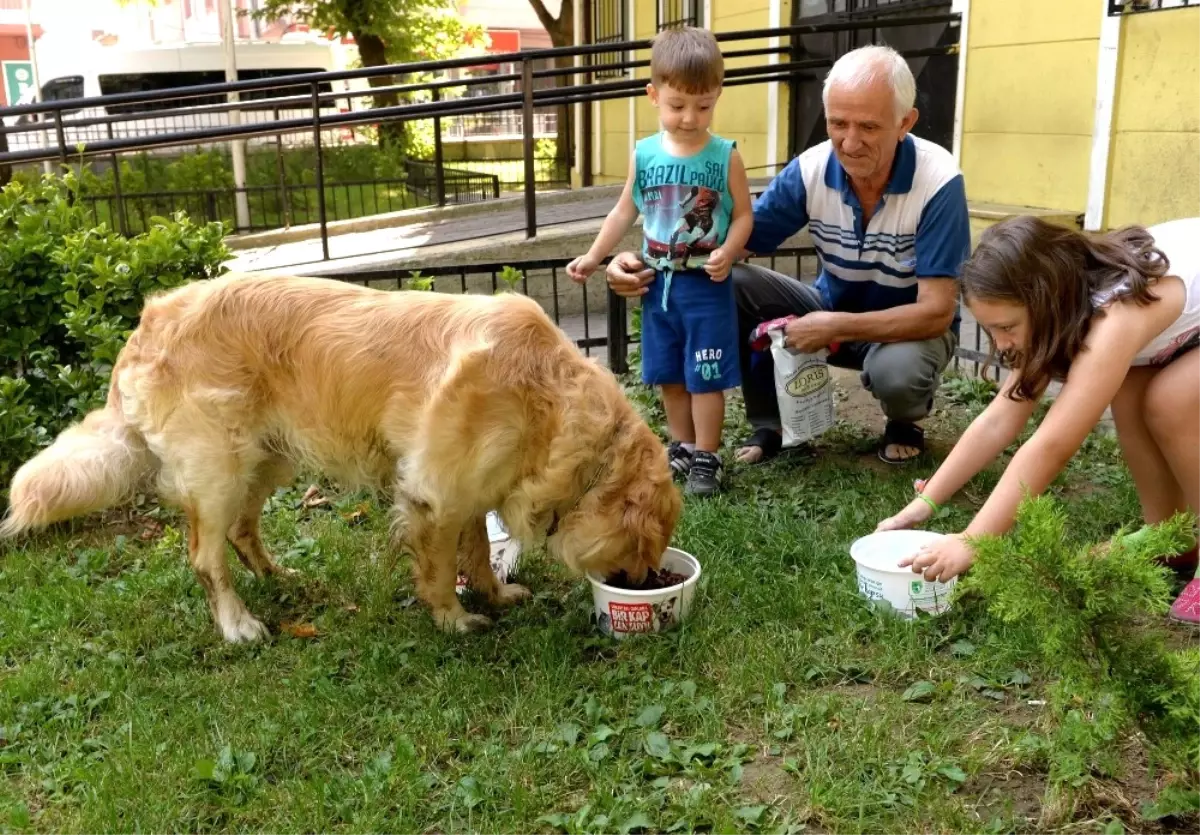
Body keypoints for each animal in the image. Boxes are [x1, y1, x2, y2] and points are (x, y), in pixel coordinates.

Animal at [0, 271, 681, 643]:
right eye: (642, 554)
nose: (649, 585)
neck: (549, 402)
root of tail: (146, 324)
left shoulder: (470, 490)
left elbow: (476, 552)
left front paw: (493, 594)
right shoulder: (434, 494)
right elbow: (441, 569)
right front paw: (454, 619)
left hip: (268, 459)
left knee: (245, 532)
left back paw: (279, 577)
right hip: (218, 468)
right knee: (205, 556)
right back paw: (238, 623)